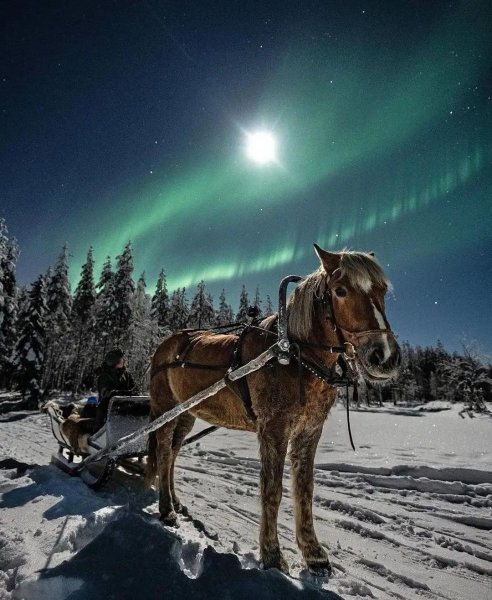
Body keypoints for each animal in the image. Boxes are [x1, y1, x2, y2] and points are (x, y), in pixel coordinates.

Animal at [146, 245, 400, 576]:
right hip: (165, 408)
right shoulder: (273, 428)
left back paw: (175, 502)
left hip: (187, 413)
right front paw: (272, 555)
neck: (293, 355)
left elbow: (304, 488)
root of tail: (165, 343)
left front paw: (313, 553)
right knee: (164, 452)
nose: (385, 356)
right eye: (341, 291)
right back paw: (166, 510)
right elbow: (272, 489)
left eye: (382, 290)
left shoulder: (309, 430)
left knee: (174, 454)